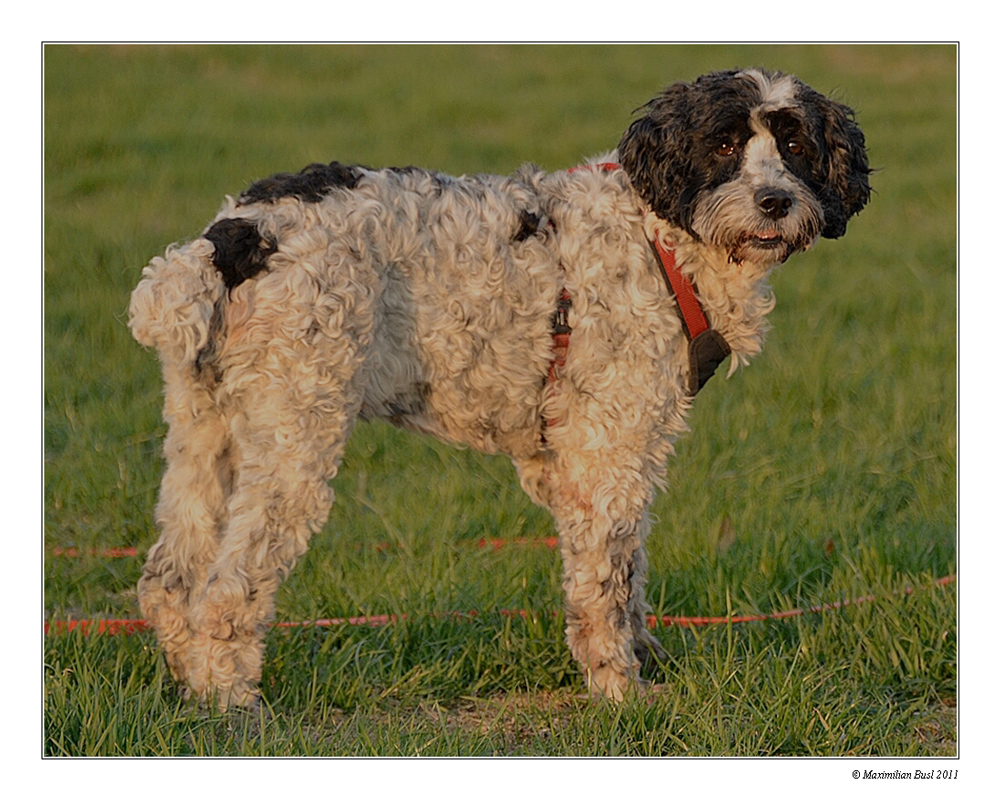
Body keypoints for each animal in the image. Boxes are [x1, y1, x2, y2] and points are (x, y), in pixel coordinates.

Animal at [131, 69, 868, 708]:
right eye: (723, 144)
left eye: (795, 145)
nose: (775, 202)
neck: (659, 238)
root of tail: (233, 237)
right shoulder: (606, 451)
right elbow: (605, 586)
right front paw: (619, 691)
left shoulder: (589, 460)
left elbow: (627, 572)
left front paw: (642, 662)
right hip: (295, 436)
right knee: (227, 588)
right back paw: (232, 702)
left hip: (206, 430)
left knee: (169, 578)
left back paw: (191, 688)